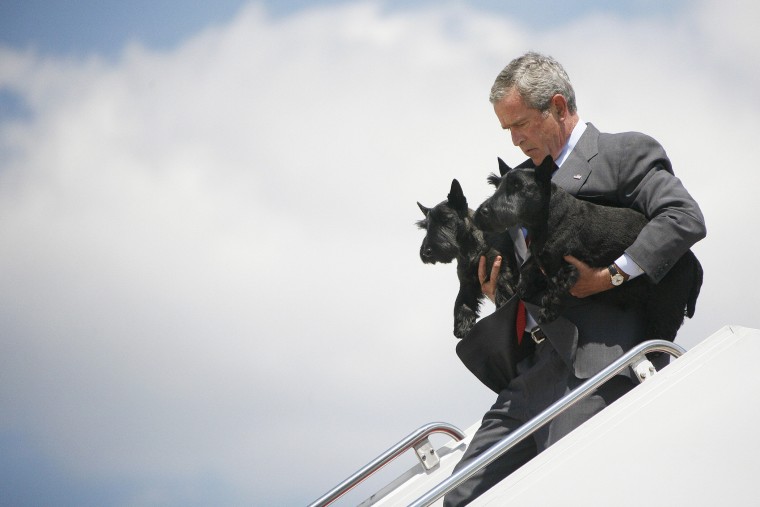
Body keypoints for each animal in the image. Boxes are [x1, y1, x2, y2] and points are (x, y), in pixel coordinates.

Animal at [418, 179, 520, 338]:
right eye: (425, 227)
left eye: (446, 220)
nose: (426, 252)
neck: (469, 248)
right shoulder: (467, 282)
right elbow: (461, 301)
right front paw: (462, 325)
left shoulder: (500, 266)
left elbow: (502, 284)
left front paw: (503, 304)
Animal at [478, 157, 704, 344]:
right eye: (497, 186)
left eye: (517, 186)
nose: (482, 212)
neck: (550, 218)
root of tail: (693, 261)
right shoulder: (540, 260)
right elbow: (529, 270)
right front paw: (520, 288)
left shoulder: (566, 268)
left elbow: (555, 289)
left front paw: (547, 312)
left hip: (666, 306)